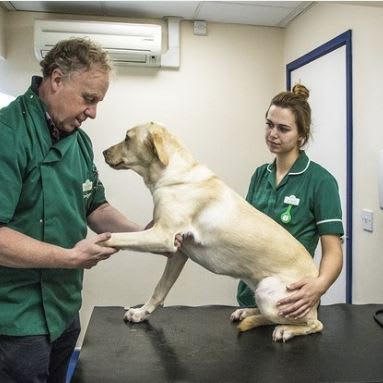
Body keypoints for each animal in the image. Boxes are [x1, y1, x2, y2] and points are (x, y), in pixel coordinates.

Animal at [103, 122, 324, 342]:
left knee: (312, 324)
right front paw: (141, 313)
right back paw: (246, 312)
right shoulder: (178, 252)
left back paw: (285, 329)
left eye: (127, 137)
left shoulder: (162, 236)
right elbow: (160, 289)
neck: (173, 174)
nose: (104, 152)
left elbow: (115, 237)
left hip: (268, 290)